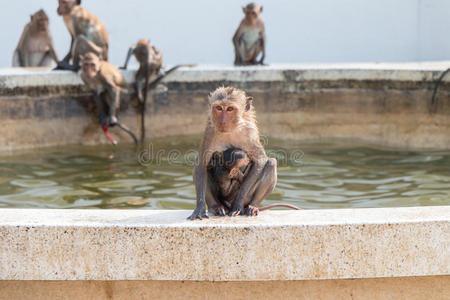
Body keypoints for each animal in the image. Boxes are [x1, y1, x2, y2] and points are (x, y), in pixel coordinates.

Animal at [187, 86, 278, 220]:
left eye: (230, 109)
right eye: (219, 108)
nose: (222, 121)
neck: (231, 129)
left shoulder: (249, 133)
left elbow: (260, 160)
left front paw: (238, 205)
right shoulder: (210, 130)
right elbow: (201, 163)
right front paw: (199, 208)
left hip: (247, 197)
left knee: (271, 163)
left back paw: (252, 206)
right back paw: (215, 207)